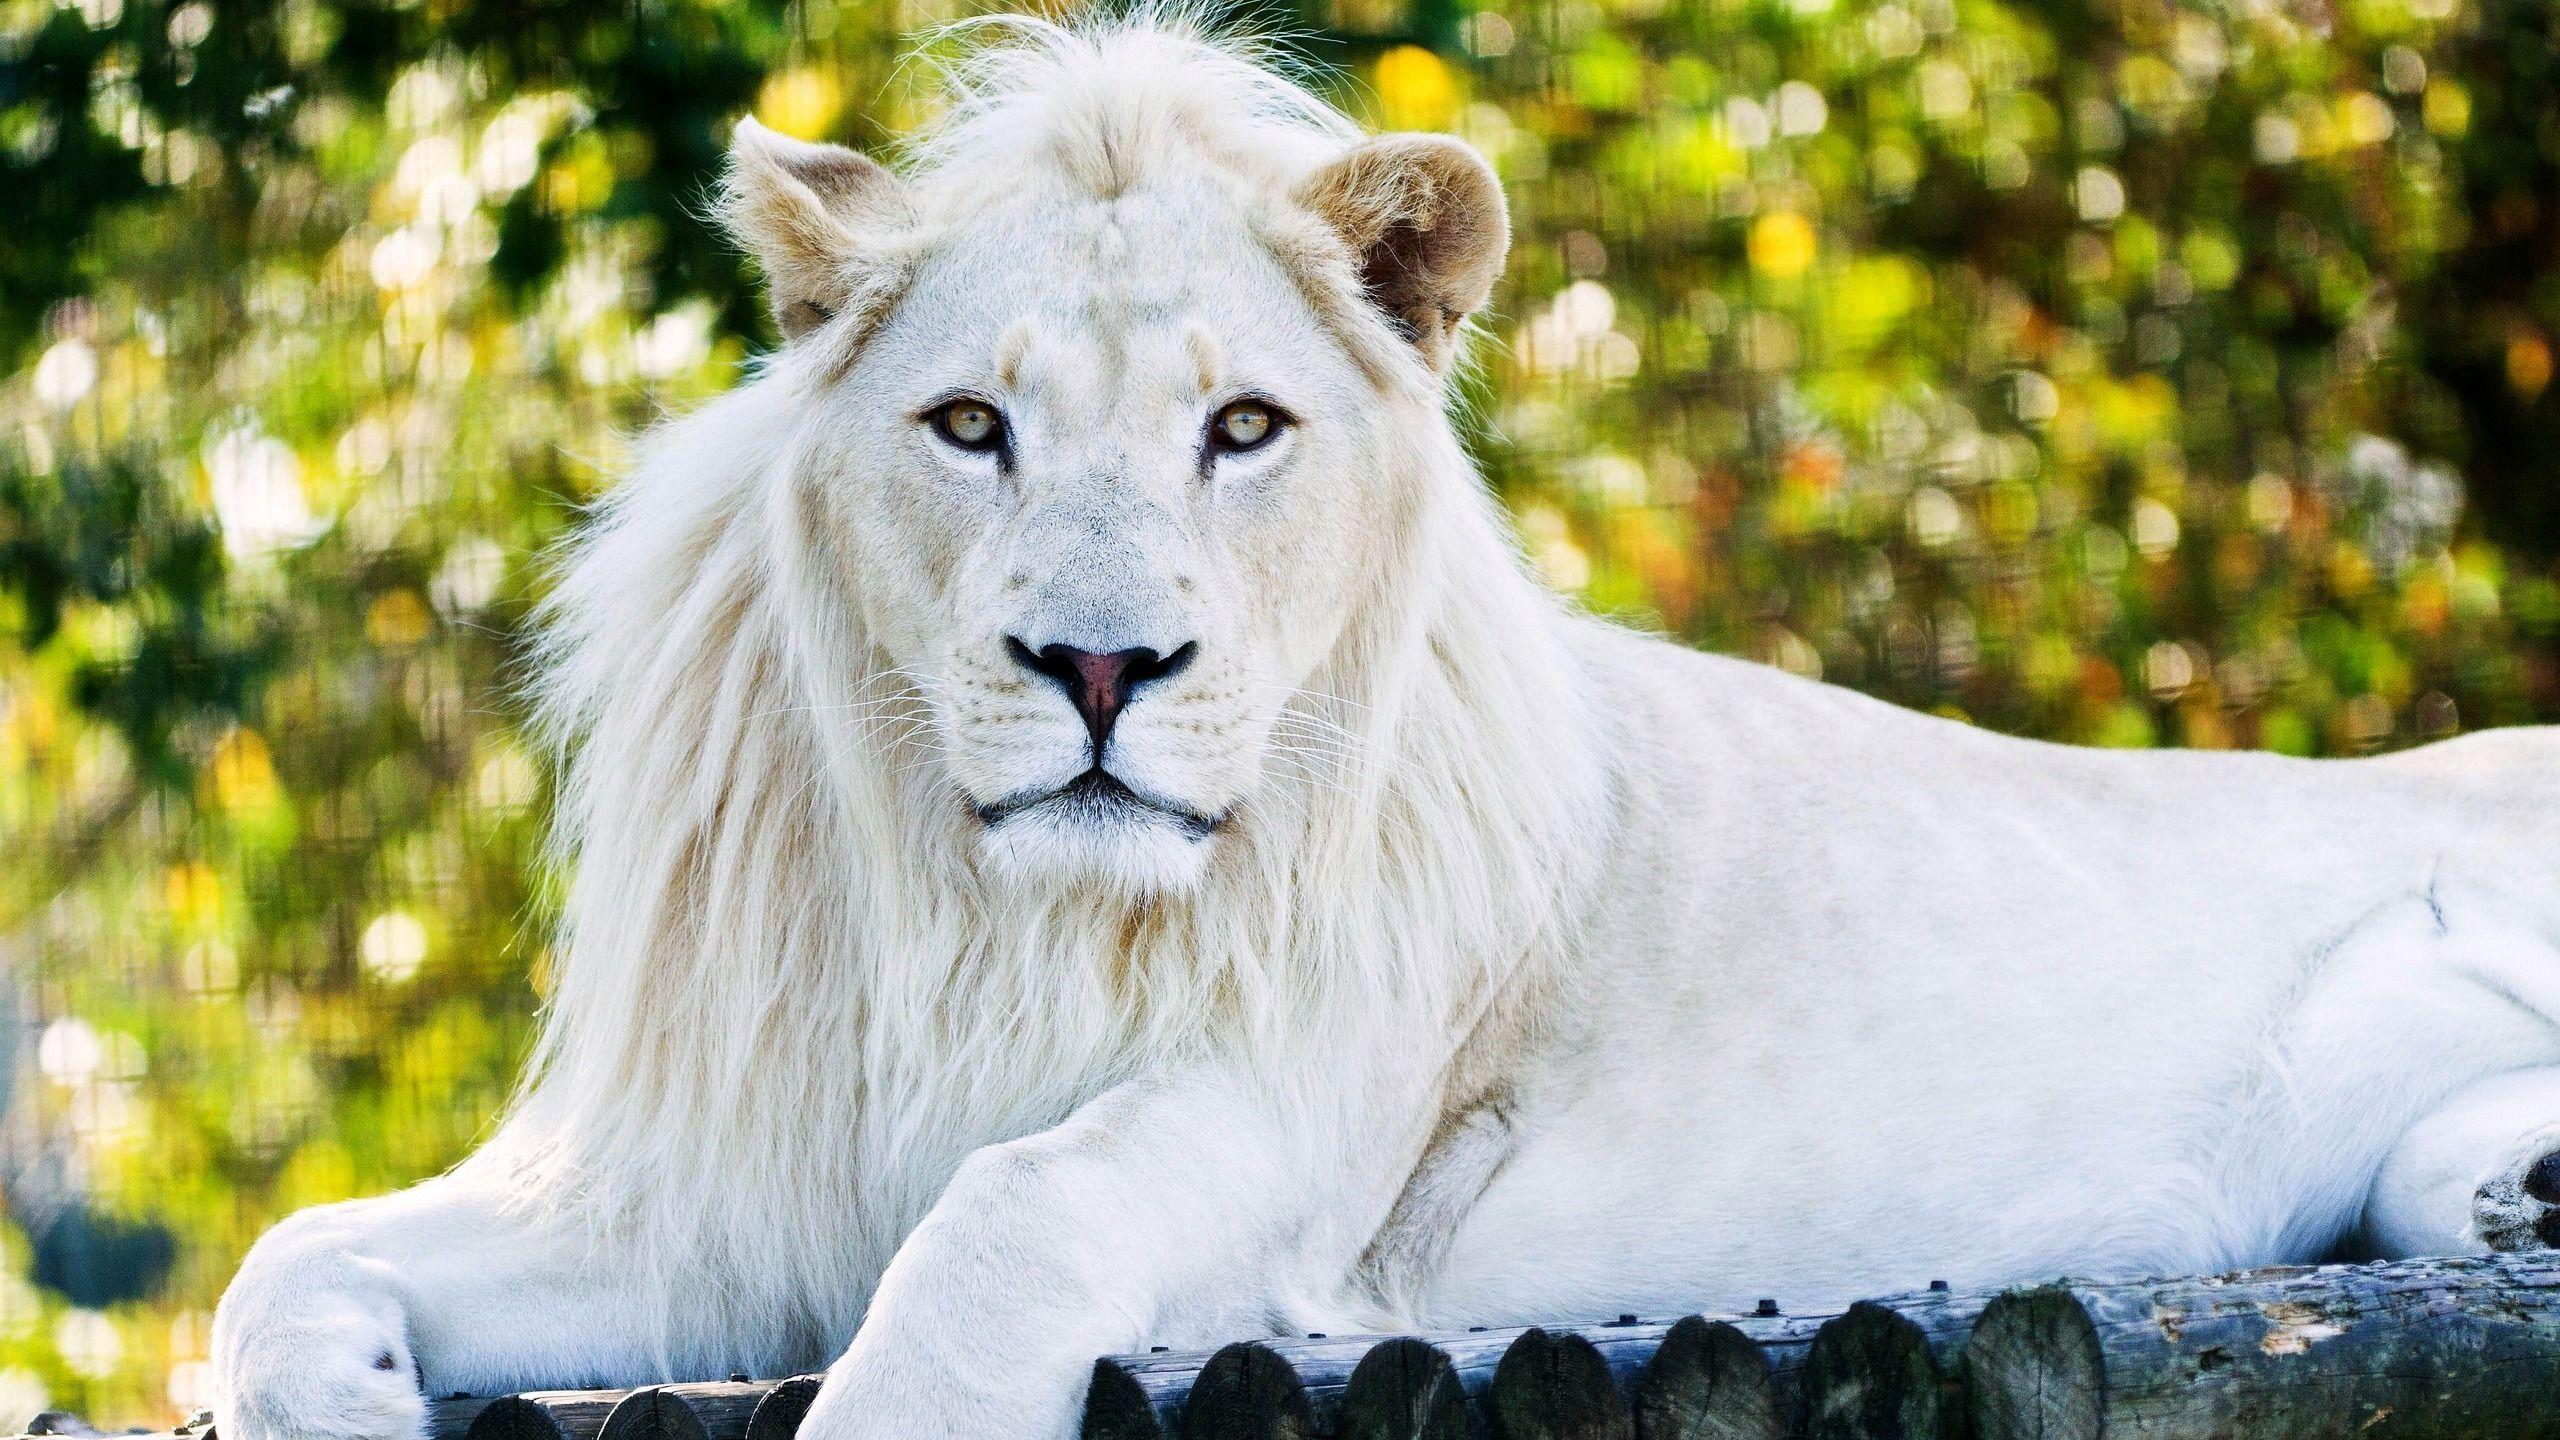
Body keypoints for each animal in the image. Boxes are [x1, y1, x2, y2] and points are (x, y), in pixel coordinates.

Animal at [211, 15, 2560, 1440]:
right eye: (970, 427)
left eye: (1241, 430)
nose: (1098, 672)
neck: (996, 920)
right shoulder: (720, 1193)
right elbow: (284, 1262)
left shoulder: (1301, 1121)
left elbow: (1006, 1220)